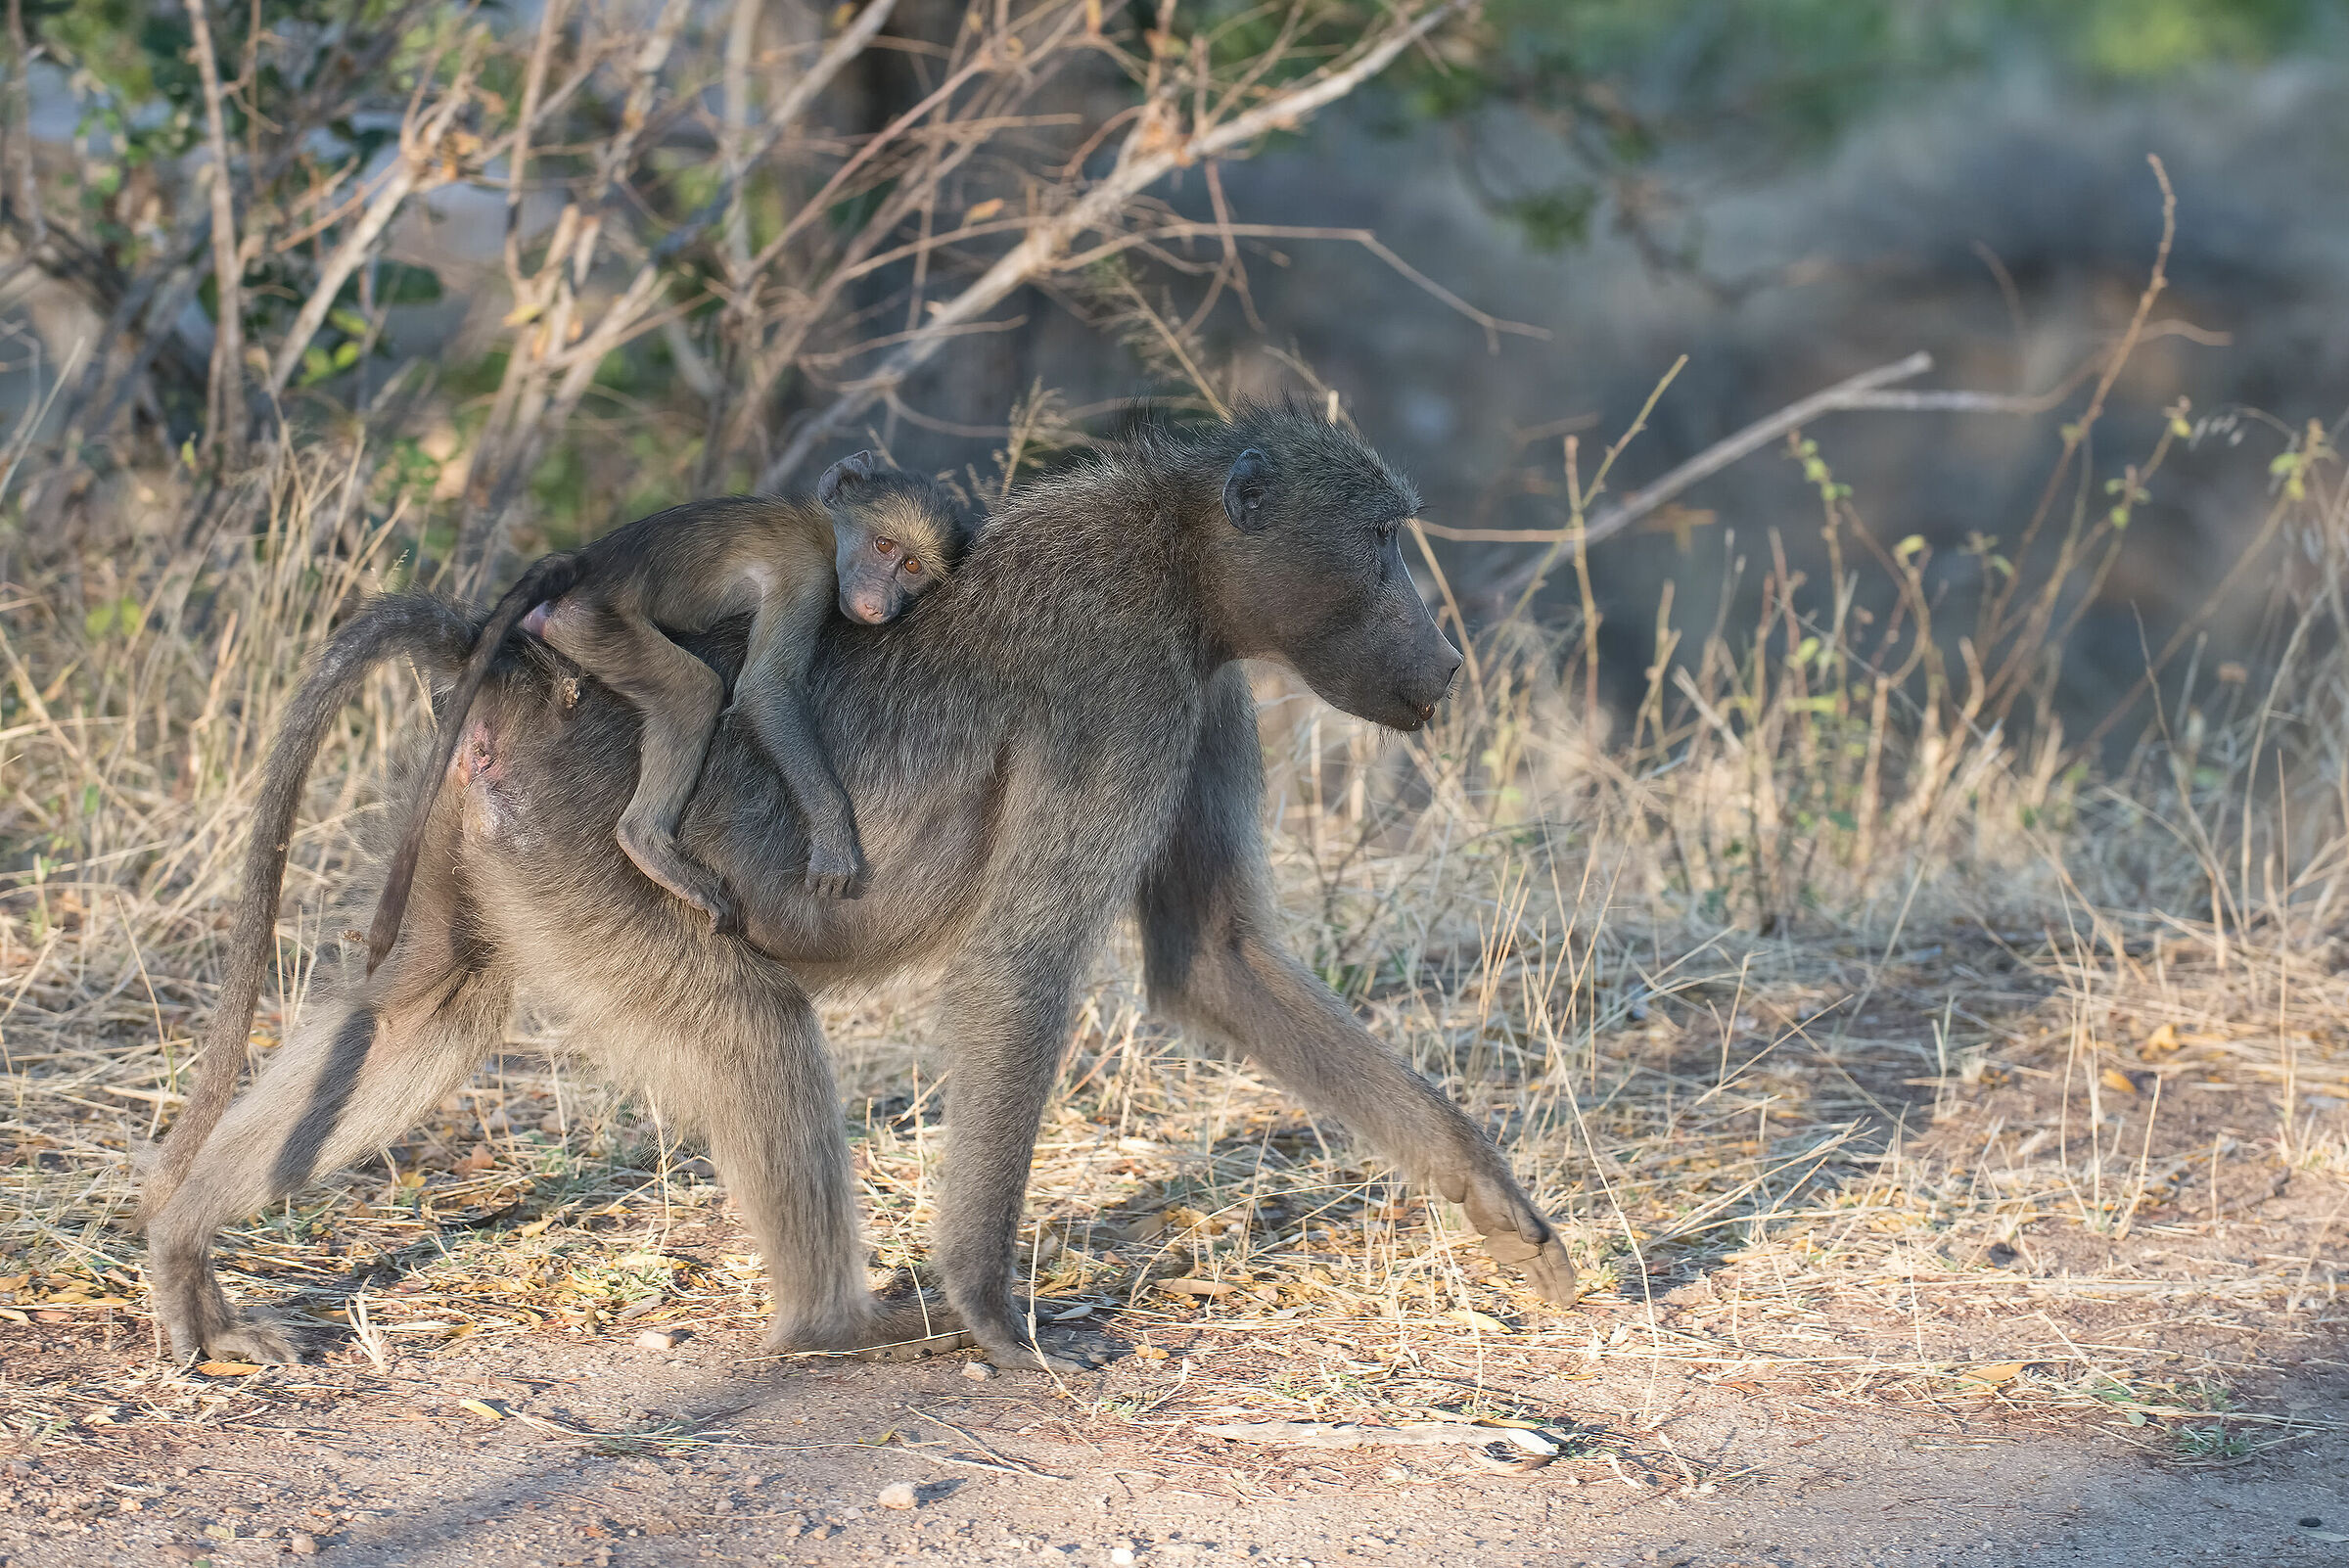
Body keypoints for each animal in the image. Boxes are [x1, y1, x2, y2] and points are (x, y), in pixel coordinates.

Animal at [363, 452, 980, 975]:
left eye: (912, 565)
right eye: (882, 546)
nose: (879, 602)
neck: (825, 528)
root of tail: (583, 563)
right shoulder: (806, 574)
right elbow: (766, 690)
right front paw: (834, 835)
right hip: (595, 625)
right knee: (694, 691)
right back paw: (647, 843)